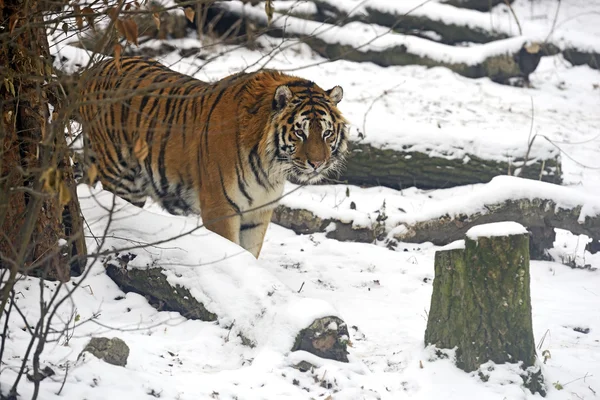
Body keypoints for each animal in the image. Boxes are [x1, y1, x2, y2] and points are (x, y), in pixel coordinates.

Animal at [76, 57, 346, 260]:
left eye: (327, 133)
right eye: (300, 132)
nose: (317, 164)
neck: (269, 168)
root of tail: (97, 67)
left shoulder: (259, 212)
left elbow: (250, 252)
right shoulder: (221, 208)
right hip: (121, 179)